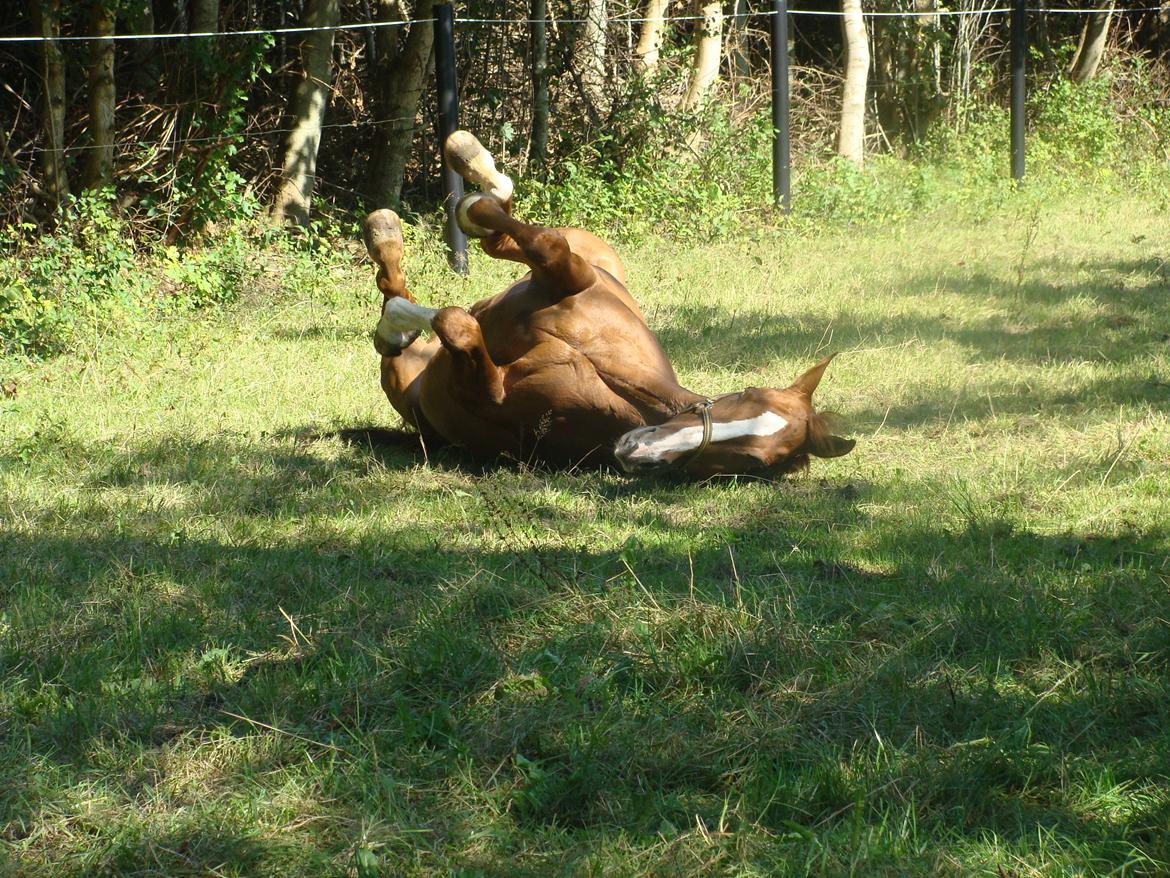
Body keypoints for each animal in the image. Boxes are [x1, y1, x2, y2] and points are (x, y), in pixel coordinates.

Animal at [365, 130, 851, 482]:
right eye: (748, 394)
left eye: (756, 462)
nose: (641, 448)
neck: (609, 375)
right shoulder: (572, 278)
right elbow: (538, 243)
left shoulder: (487, 394)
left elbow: (456, 324)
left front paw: (411, 320)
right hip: (593, 263)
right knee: (496, 232)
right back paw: (412, 209)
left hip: (403, 383)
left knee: (400, 320)